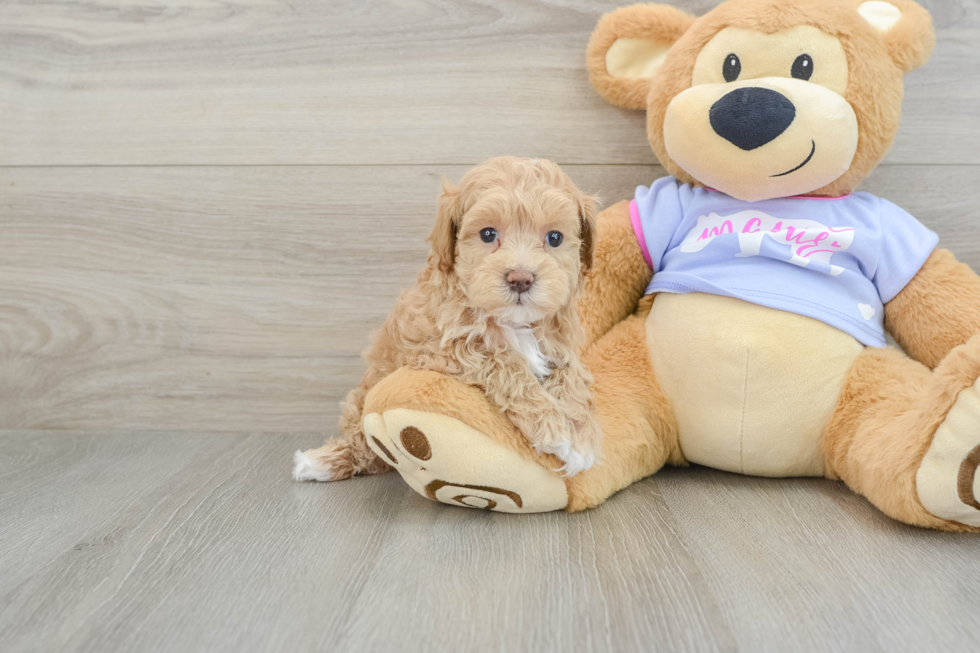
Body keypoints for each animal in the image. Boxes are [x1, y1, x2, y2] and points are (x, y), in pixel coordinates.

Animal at [294, 157, 604, 478]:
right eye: (488, 234)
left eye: (554, 238)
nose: (521, 279)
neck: (511, 321)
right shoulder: (443, 349)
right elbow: (506, 365)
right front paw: (557, 430)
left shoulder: (560, 345)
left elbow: (572, 378)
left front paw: (581, 435)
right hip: (364, 399)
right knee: (361, 444)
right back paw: (324, 461)